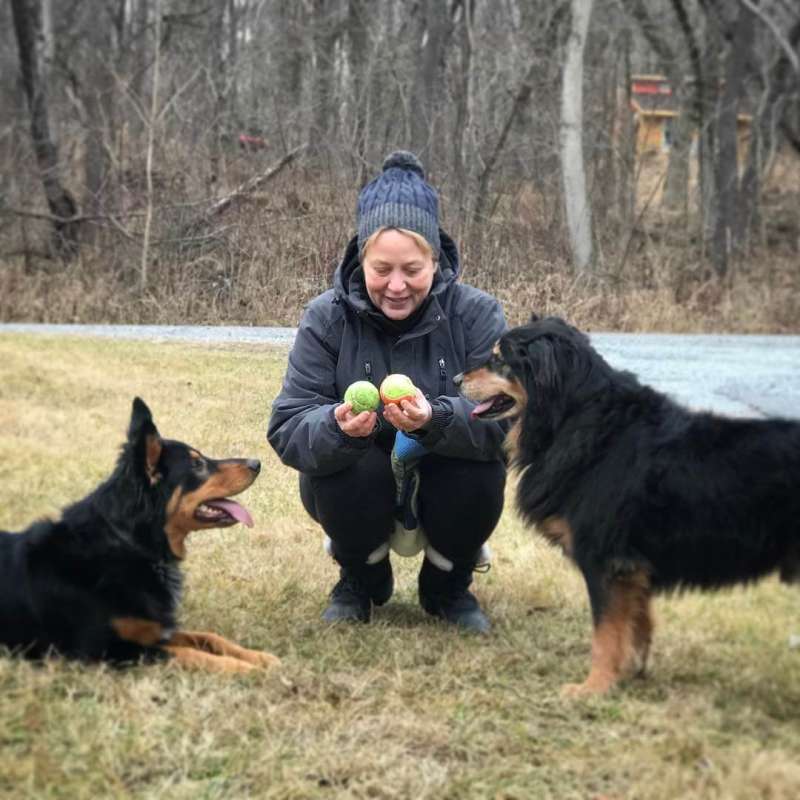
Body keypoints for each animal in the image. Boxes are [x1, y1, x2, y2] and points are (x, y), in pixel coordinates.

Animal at [0, 396, 282, 672]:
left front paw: (258, 658)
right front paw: (248, 670)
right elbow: (190, 654)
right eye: (197, 464)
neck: (129, 543)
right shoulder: (108, 651)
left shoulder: (155, 629)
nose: (256, 463)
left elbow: (207, 637)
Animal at [456, 316, 800, 696]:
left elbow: (605, 632)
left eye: (499, 358)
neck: (576, 418)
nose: (456, 380)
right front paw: (631, 670)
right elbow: (637, 622)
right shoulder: (634, 568)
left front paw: (593, 687)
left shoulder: (606, 562)